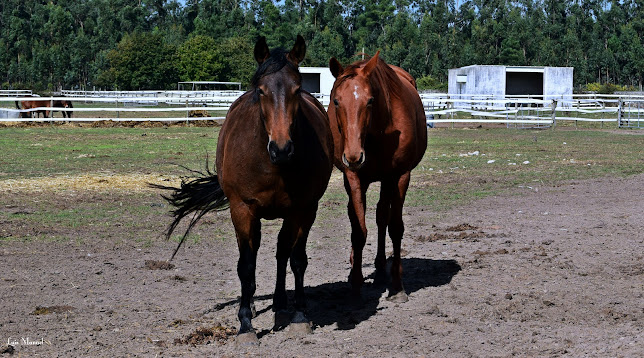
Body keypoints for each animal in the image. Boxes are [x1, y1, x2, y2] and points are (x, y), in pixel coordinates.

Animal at [155, 36, 332, 344]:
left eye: (297, 89)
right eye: (261, 91)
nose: (282, 149)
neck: (273, 166)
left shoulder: (304, 209)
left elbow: (297, 259)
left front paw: (299, 316)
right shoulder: (242, 210)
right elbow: (246, 265)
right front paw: (246, 323)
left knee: (282, 252)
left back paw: (280, 305)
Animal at [328, 51, 428, 302]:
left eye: (370, 100)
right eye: (336, 101)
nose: (353, 156)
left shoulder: (400, 175)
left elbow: (395, 227)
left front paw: (398, 287)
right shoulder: (354, 178)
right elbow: (358, 230)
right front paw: (355, 285)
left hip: (387, 180)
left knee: (383, 216)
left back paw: (383, 270)